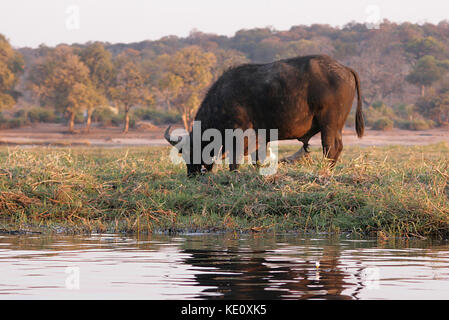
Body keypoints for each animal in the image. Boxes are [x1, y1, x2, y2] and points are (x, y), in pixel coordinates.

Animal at [165, 54, 364, 175]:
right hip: (335, 126)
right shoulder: (260, 138)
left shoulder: (238, 135)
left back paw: (326, 170)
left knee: (330, 147)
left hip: (329, 124)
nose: (192, 174)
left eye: (192, 151)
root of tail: (344, 68)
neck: (222, 99)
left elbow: (235, 159)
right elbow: (257, 159)